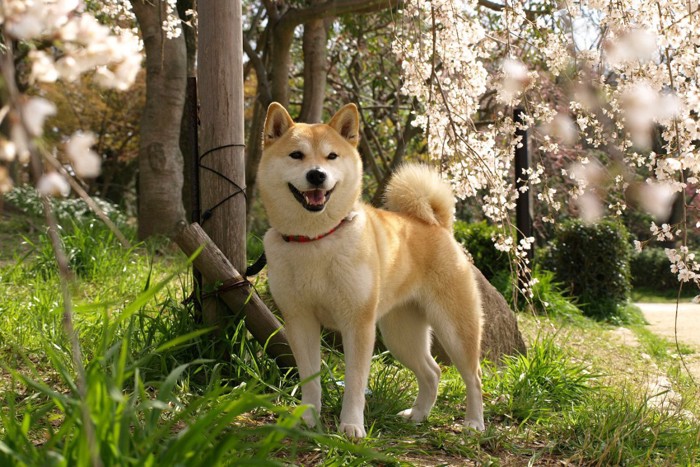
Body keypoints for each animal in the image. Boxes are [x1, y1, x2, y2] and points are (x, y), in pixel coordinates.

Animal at [258, 101, 486, 438]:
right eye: (296, 155)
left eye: (331, 156)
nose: (316, 175)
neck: (316, 239)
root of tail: (437, 225)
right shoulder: (300, 321)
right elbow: (309, 379)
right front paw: (307, 419)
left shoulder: (358, 323)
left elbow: (355, 382)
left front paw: (351, 426)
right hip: (400, 334)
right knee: (432, 372)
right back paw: (418, 415)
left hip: (454, 329)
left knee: (473, 376)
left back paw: (474, 423)